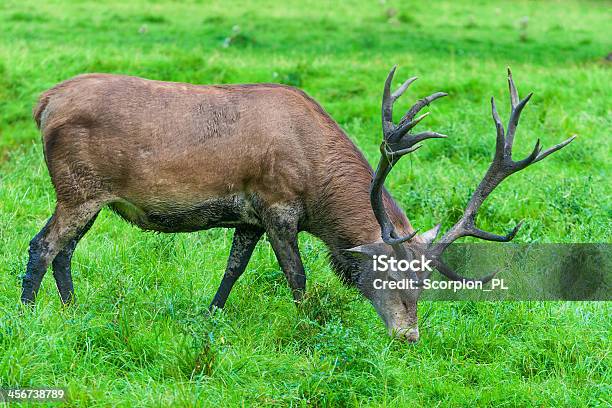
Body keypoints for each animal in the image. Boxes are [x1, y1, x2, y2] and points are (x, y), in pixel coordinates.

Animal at [20, 67, 572, 342]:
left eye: (423, 285)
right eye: (388, 279)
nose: (409, 336)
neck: (316, 186)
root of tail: (44, 102)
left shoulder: (247, 215)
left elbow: (233, 269)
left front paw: (210, 317)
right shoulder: (278, 204)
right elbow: (298, 276)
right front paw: (308, 326)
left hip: (87, 196)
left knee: (63, 248)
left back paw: (71, 310)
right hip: (78, 188)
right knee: (43, 244)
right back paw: (27, 316)